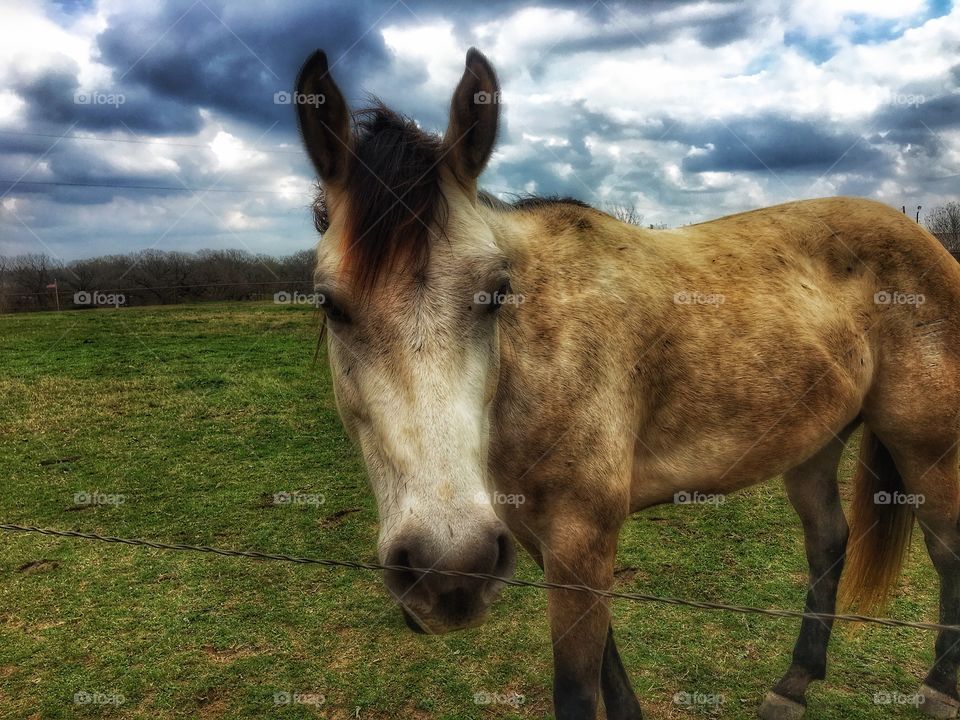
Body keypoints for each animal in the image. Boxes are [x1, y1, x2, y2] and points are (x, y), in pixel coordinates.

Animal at [294, 47, 960, 720]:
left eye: (496, 292)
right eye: (329, 303)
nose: (448, 570)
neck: (539, 356)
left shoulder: (580, 536)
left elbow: (577, 685)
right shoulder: (540, 539)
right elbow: (609, 666)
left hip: (927, 448)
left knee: (946, 550)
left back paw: (938, 688)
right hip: (813, 444)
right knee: (828, 541)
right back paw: (794, 684)